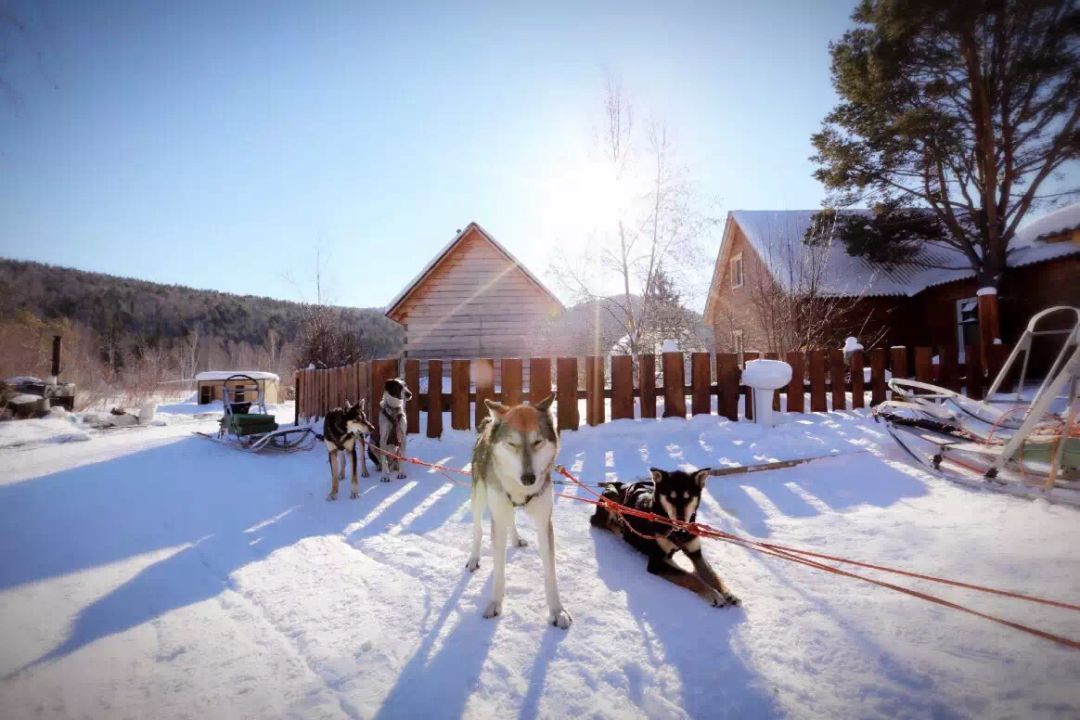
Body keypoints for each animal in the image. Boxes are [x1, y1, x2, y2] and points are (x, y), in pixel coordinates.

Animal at [464, 397, 570, 626]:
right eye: (512, 444)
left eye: (537, 442)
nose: (529, 478)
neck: (520, 490)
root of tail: (488, 425)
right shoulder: (497, 517)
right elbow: (499, 569)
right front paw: (495, 604)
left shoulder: (544, 523)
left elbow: (550, 573)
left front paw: (557, 611)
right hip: (479, 498)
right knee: (478, 530)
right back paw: (474, 558)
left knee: (510, 520)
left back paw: (515, 539)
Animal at [591, 468, 743, 608]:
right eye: (670, 497)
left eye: (688, 498)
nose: (681, 520)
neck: (677, 532)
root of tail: (618, 483)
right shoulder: (656, 563)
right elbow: (690, 577)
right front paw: (712, 594)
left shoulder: (695, 553)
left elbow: (711, 573)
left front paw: (727, 592)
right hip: (610, 499)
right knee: (601, 521)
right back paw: (621, 529)